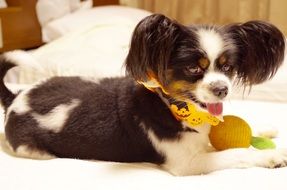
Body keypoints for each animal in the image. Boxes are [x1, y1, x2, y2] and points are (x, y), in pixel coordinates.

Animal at [0, 14, 287, 176]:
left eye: (227, 67)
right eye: (194, 68)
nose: (222, 89)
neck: (176, 107)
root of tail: (17, 98)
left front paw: (265, 128)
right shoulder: (188, 163)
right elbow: (236, 153)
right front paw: (271, 156)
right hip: (33, 150)